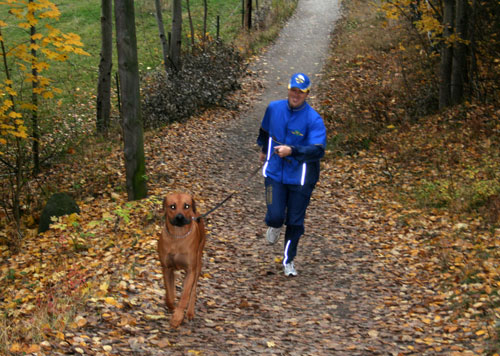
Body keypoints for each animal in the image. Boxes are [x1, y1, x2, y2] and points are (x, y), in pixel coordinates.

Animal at [157, 192, 206, 328]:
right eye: (172, 206)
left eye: (186, 206)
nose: (180, 217)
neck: (177, 237)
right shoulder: (167, 268)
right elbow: (169, 295)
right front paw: (172, 307)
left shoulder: (190, 270)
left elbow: (184, 296)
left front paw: (177, 317)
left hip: (198, 263)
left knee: (193, 290)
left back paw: (189, 312)